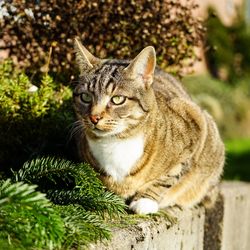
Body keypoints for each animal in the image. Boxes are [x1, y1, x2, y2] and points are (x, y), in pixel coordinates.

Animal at [72, 38, 225, 215]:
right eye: (85, 97)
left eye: (117, 99)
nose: (94, 117)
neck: (116, 142)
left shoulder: (195, 125)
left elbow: (170, 176)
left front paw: (145, 200)